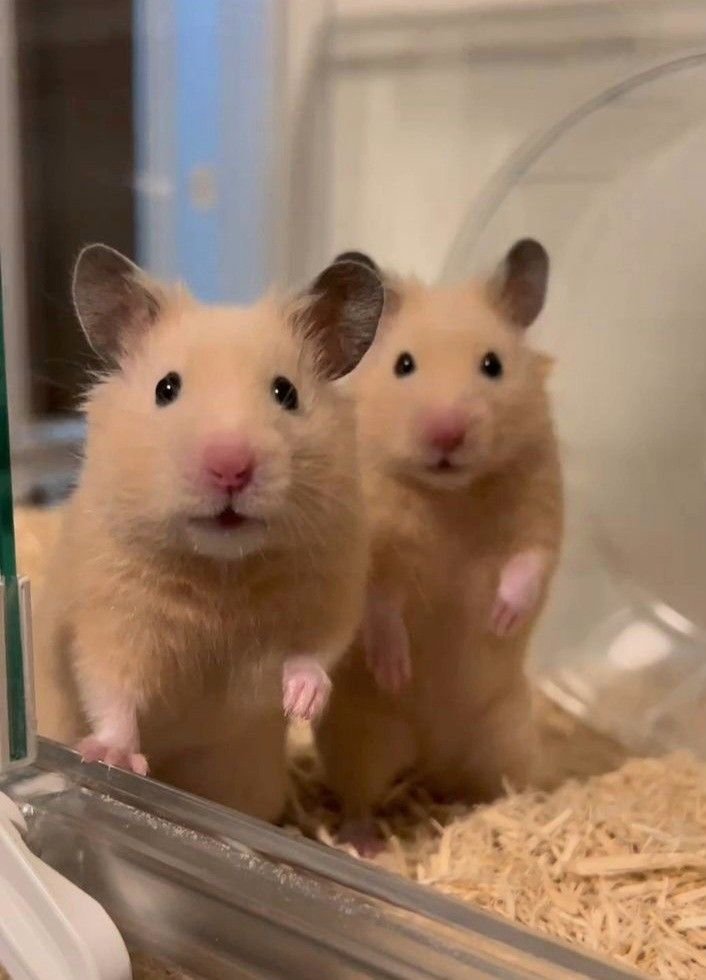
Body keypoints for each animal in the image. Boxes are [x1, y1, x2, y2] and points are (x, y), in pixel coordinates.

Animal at [34, 244, 383, 822]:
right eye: (166, 388)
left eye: (286, 392)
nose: (230, 468)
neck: (222, 568)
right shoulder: (110, 613)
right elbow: (110, 687)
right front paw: (113, 759)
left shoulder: (332, 589)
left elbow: (315, 651)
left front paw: (300, 702)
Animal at [316, 240, 563, 853]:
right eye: (404, 364)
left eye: (492, 364)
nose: (447, 433)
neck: (449, 494)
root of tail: (431, 758)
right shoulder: (369, 553)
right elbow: (379, 605)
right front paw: (396, 669)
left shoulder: (542, 514)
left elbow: (529, 565)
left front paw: (500, 617)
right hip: (360, 736)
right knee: (360, 793)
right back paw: (364, 842)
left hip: (507, 737)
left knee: (498, 785)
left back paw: (513, 813)